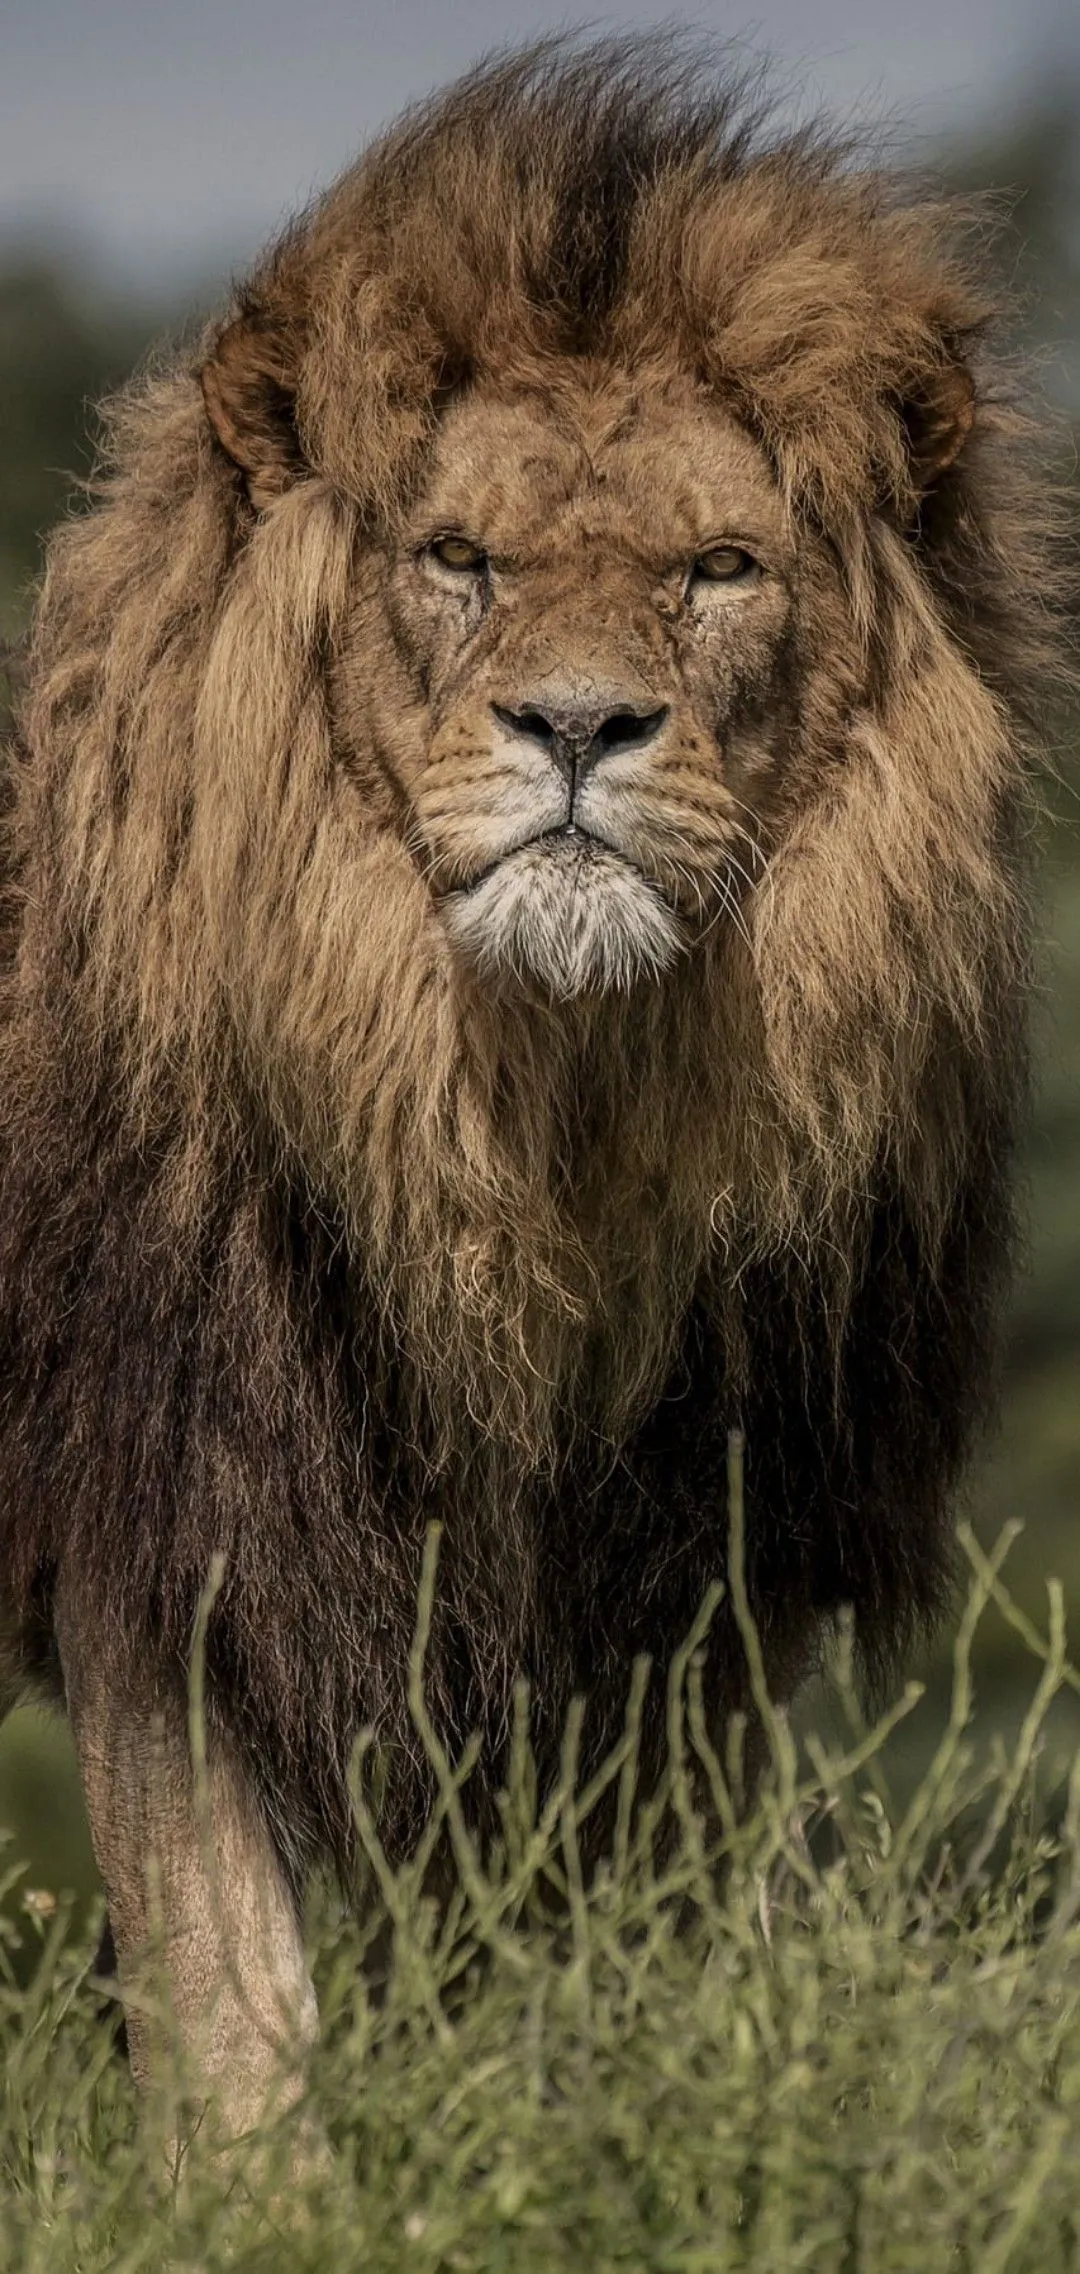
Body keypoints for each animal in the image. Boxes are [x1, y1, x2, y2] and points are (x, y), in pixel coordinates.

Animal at [0, 39, 1066, 2160]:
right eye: (458, 559)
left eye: (718, 569)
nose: (578, 725)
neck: (535, 1126)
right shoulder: (168, 1505)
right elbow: (227, 1991)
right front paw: (273, 2197)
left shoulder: (682, 1579)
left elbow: (605, 1949)